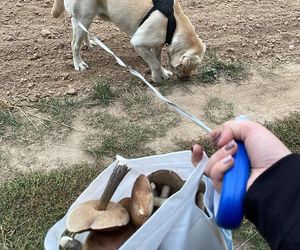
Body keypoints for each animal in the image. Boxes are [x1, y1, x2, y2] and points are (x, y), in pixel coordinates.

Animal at [51, 0, 206, 83]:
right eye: (183, 66)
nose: (186, 78)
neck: (174, 23)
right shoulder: (138, 43)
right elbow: (155, 64)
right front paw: (156, 78)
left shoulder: (157, 45)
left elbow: (158, 60)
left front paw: (163, 73)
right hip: (83, 17)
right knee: (74, 45)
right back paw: (78, 63)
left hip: (85, 20)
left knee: (84, 34)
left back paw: (89, 44)